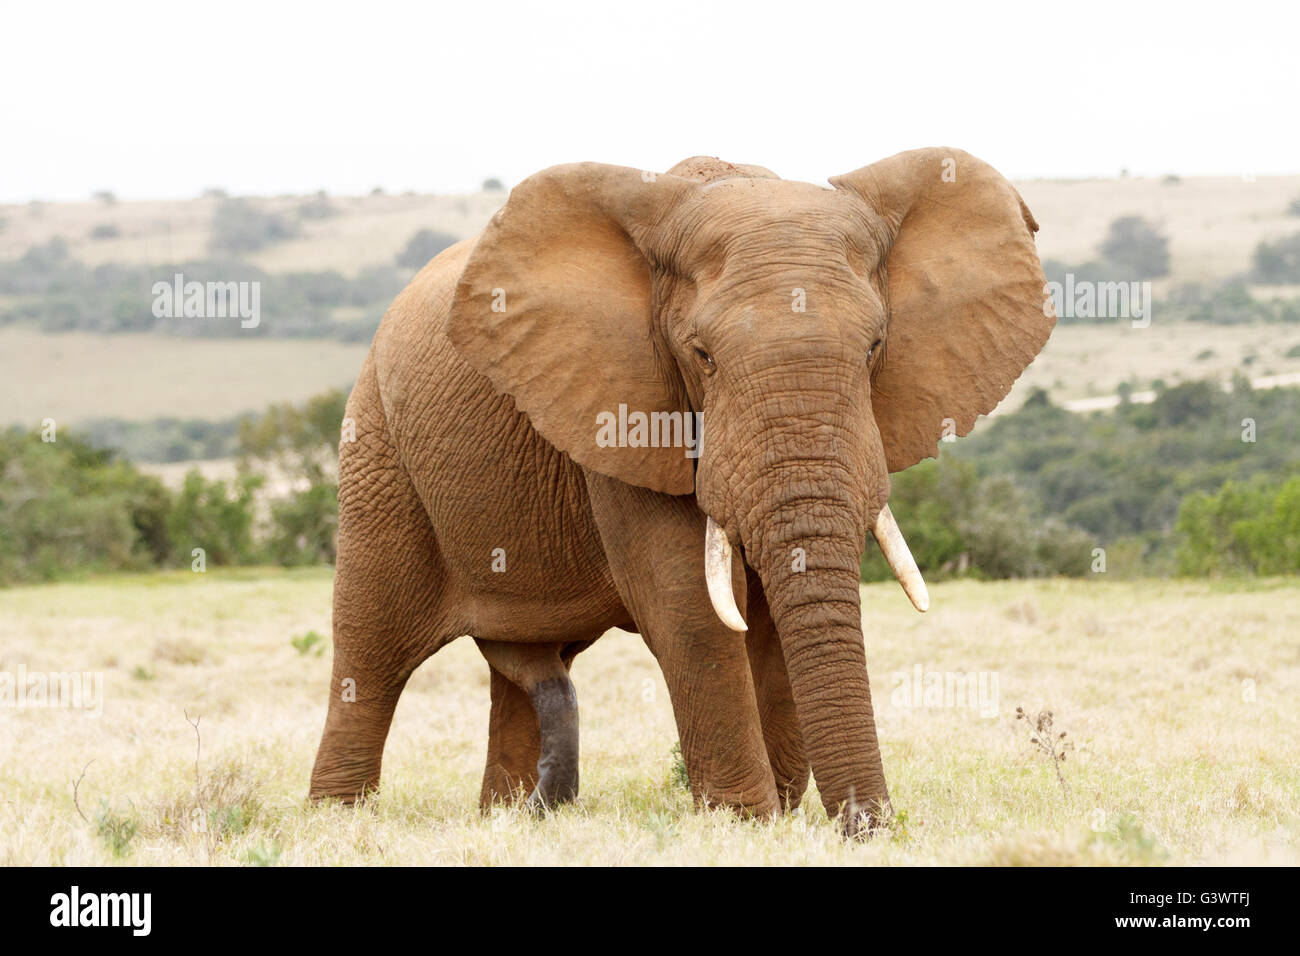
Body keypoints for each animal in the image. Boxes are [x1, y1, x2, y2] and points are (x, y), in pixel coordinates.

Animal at [306, 145, 1055, 832]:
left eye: (875, 348)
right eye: (703, 357)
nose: (868, 826)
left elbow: (771, 615)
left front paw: (771, 820)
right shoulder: (623, 406)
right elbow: (689, 604)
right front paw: (743, 823)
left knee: (527, 665)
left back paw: (511, 821)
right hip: (377, 442)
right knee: (372, 645)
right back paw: (336, 822)